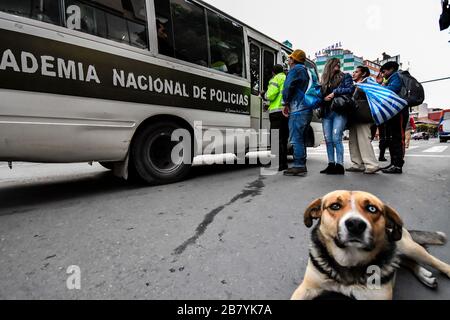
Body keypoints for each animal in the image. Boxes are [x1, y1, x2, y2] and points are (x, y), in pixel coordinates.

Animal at [292, 190, 450, 300]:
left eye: (372, 208)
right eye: (335, 206)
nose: (355, 224)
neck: (349, 260)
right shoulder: (306, 288)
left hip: (410, 247)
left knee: (434, 261)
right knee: (403, 260)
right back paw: (424, 274)